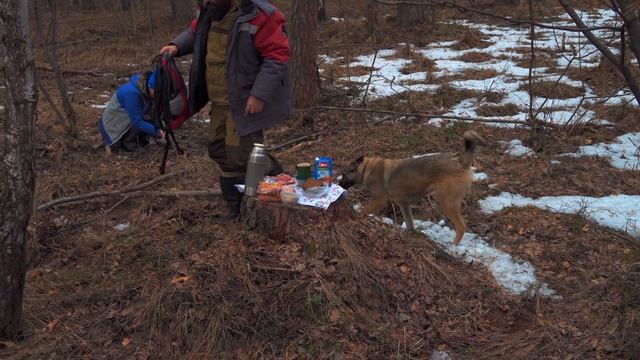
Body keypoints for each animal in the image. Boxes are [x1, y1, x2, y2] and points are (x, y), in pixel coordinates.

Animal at [340, 130, 484, 245]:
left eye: (344, 174)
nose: (339, 185)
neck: (367, 168)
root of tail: (460, 160)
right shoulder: (404, 204)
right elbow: (410, 224)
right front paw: (411, 235)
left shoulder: (378, 201)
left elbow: (363, 211)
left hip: (446, 202)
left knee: (461, 227)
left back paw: (453, 245)